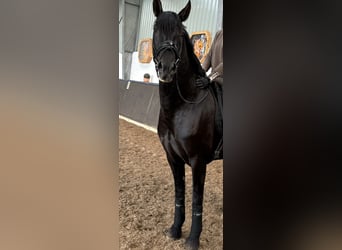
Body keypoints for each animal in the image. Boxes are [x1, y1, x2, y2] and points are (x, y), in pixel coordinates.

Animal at [152, 0, 222, 249]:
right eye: (156, 30)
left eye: (180, 36)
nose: (166, 69)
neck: (182, 106)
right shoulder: (173, 158)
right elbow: (180, 194)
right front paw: (175, 229)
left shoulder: (198, 161)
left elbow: (196, 199)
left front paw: (193, 239)